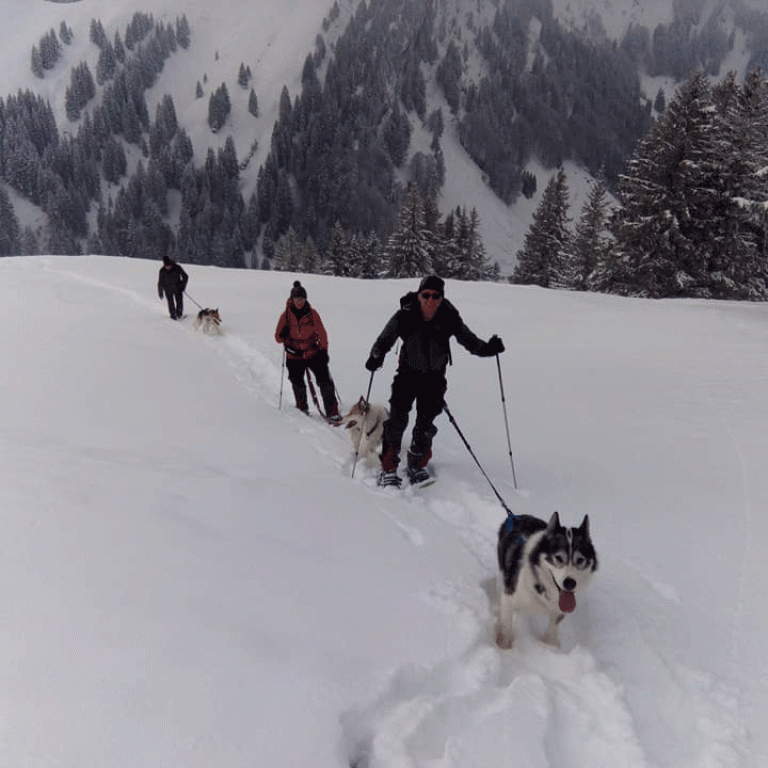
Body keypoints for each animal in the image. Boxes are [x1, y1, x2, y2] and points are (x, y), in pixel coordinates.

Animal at [496, 511, 597, 649]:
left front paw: (550, 645)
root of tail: (515, 515)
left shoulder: (559, 609)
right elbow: (506, 623)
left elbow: (553, 627)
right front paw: (504, 646)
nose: (570, 583)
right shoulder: (510, 596)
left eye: (580, 560)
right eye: (558, 558)